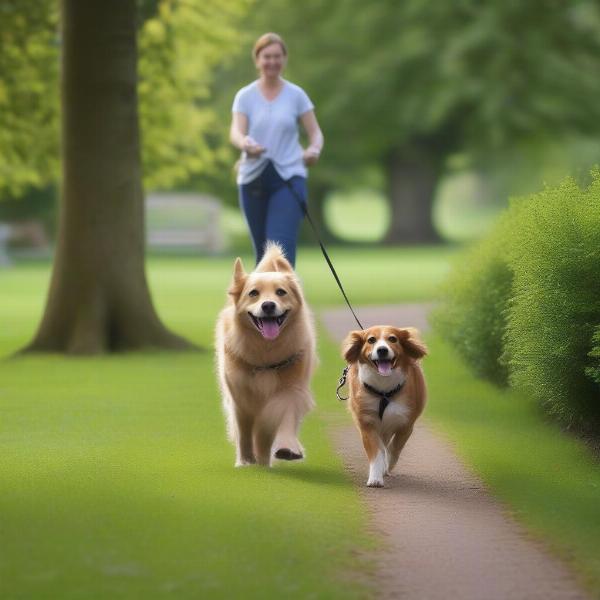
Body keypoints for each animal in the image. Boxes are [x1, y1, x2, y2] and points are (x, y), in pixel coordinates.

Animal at [217, 241, 318, 466]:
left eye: (281, 292)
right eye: (253, 293)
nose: (268, 305)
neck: (266, 352)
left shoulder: (291, 390)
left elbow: (282, 417)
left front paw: (285, 448)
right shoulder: (240, 398)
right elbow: (244, 432)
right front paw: (245, 461)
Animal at [342, 326, 426, 486]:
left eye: (393, 339)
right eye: (371, 340)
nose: (382, 350)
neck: (384, 391)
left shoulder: (406, 423)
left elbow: (394, 448)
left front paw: (387, 466)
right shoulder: (367, 422)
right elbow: (376, 451)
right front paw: (375, 477)